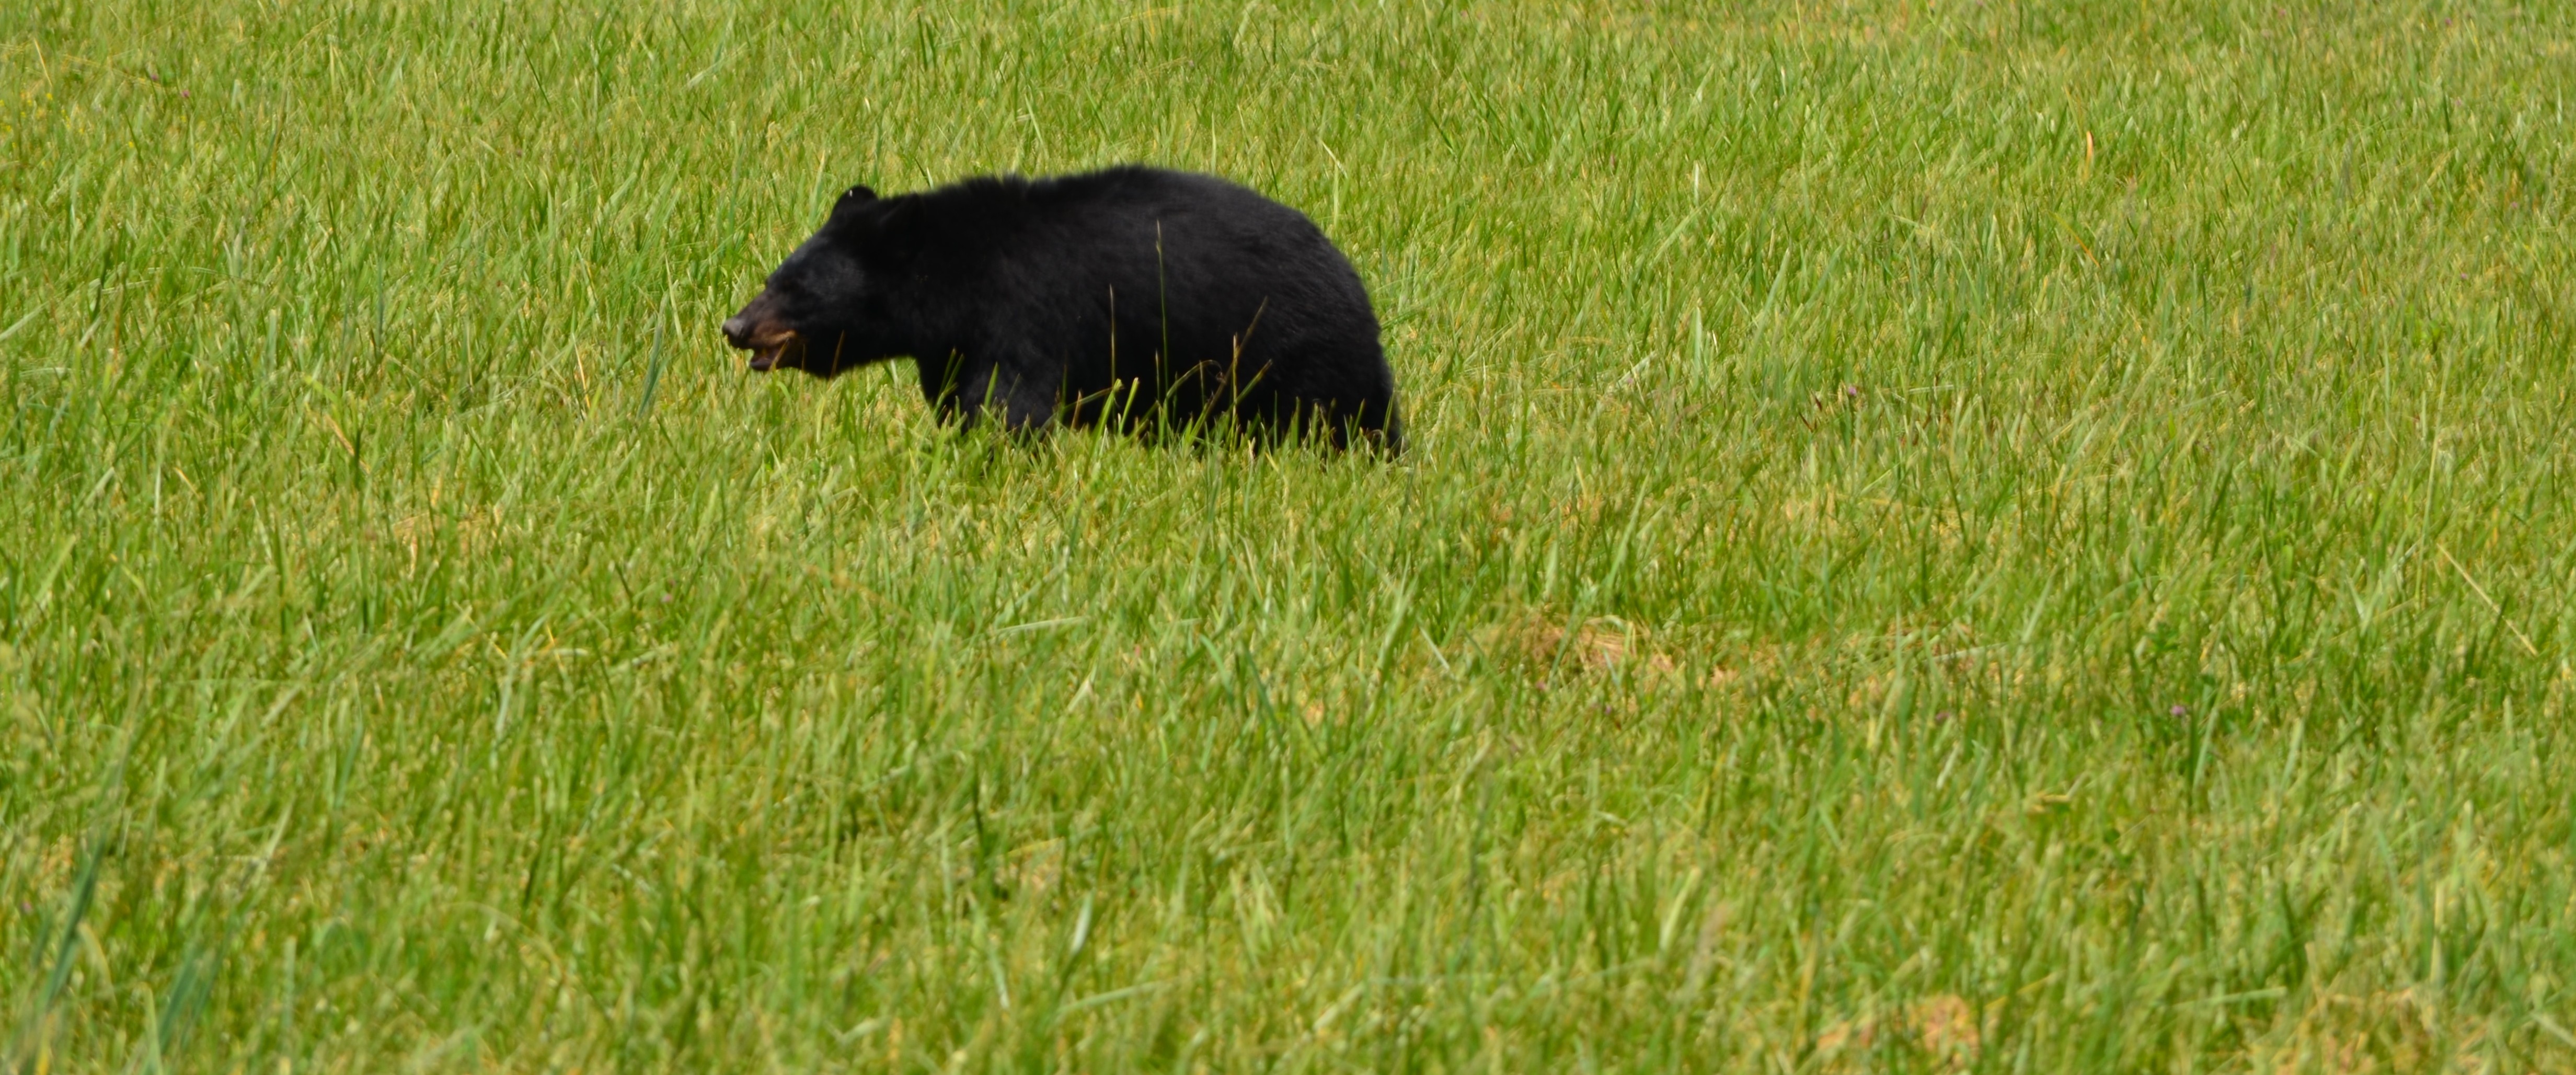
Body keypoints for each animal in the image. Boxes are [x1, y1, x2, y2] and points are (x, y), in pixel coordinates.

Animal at [721, 165, 1401, 453]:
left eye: (794, 288)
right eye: (772, 275)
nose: (734, 326)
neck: (956, 283)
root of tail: (1357, 287)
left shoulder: (1025, 317)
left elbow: (1008, 407)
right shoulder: (953, 345)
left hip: (1298, 360)